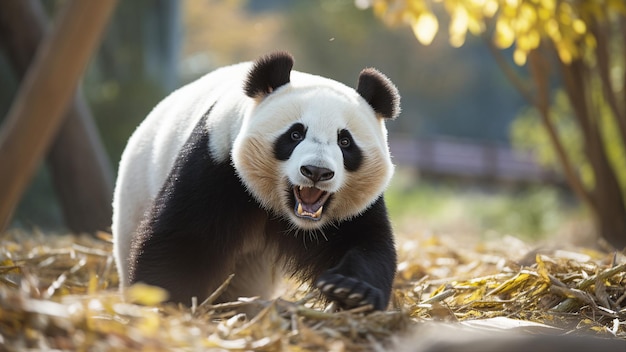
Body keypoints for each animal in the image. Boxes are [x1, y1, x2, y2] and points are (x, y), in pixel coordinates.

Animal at [112, 52, 398, 310]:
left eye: (345, 141)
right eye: (295, 134)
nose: (316, 171)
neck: (292, 220)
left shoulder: (355, 209)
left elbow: (367, 243)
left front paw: (351, 292)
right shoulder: (217, 164)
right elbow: (183, 240)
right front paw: (166, 301)